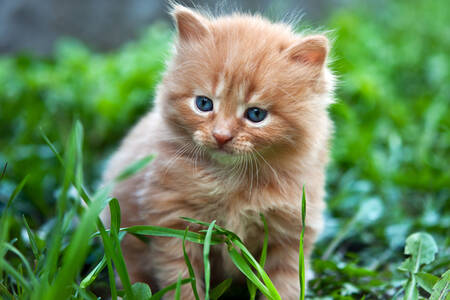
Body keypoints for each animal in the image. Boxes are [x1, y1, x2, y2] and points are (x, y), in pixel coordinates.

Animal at [102, 5, 334, 300]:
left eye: (255, 114)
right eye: (204, 104)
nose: (221, 135)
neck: (232, 180)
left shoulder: (291, 233)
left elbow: (284, 285)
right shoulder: (172, 223)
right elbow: (182, 281)